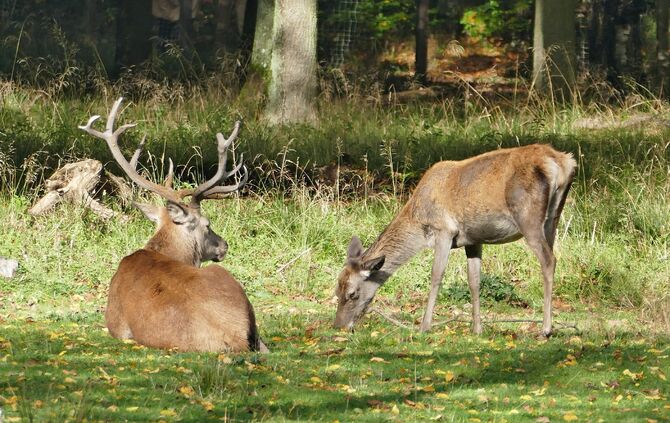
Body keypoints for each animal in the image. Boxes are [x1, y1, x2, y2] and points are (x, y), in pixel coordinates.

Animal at [333, 144, 576, 338]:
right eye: (337, 291)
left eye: (352, 294)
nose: (339, 326)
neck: (418, 220)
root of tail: (562, 163)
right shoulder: (473, 239)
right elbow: (474, 280)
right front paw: (477, 329)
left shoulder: (444, 230)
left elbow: (436, 276)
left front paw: (424, 326)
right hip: (553, 217)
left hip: (528, 217)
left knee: (549, 260)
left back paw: (546, 329)